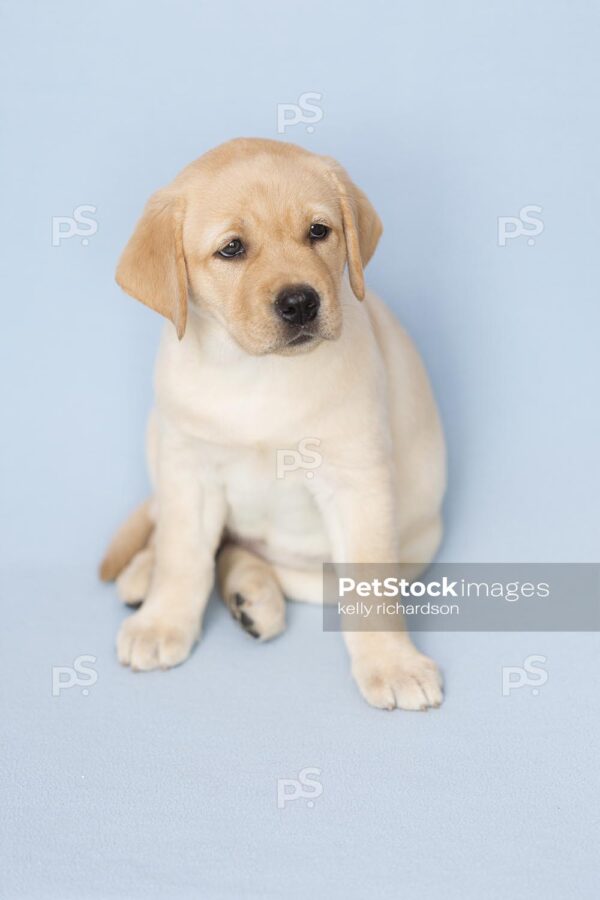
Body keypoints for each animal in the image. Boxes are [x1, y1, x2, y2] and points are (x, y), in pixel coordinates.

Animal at [101, 137, 446, 712]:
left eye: (318, 232)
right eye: (232, 249)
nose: (301, 302)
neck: (255, 372)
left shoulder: (358, 481)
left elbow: (371, 587)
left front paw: (391, 663)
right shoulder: (188, 469)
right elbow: (182, 553)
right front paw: (163, 620)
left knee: (240, 551)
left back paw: (252, 595)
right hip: (160, 437)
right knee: (180, 531)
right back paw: (146, 576)